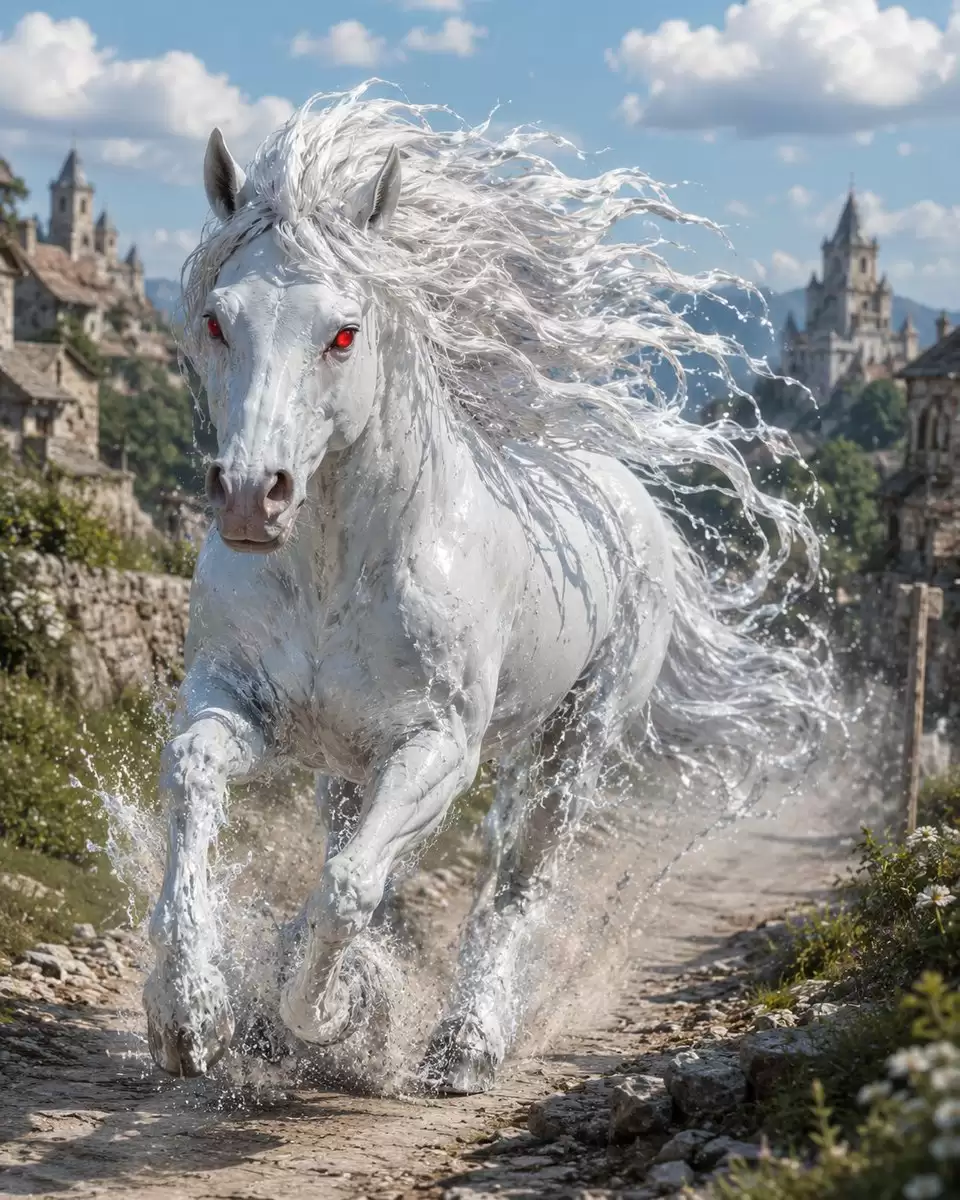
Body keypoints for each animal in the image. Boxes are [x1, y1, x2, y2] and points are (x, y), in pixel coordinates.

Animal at [144, 85, 824, 1095]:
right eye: (220, 319)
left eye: (343, 332)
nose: (249, 496)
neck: (336, 574)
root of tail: (631, 501)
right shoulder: (239, 702)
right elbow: (197, 782)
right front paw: (191, 1018)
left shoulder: (439, 748)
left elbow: (351, 888)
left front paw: (328, 1015)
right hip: (349, 763)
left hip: (572, 744)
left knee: (514, 884)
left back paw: (464, 1046)